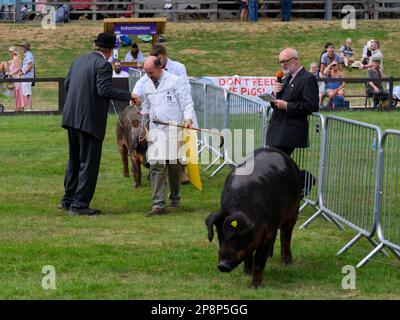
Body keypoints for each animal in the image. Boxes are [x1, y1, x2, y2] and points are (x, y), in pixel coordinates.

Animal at [206, 148, 300, 288]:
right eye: (219, 236)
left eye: (236, 236)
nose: (222, 265)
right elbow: (249, 252)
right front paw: (246, 274)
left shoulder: (270, 230)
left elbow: (260, 258)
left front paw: (254, 287)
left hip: (294, 211)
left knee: (286, 236)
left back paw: (287, 262)